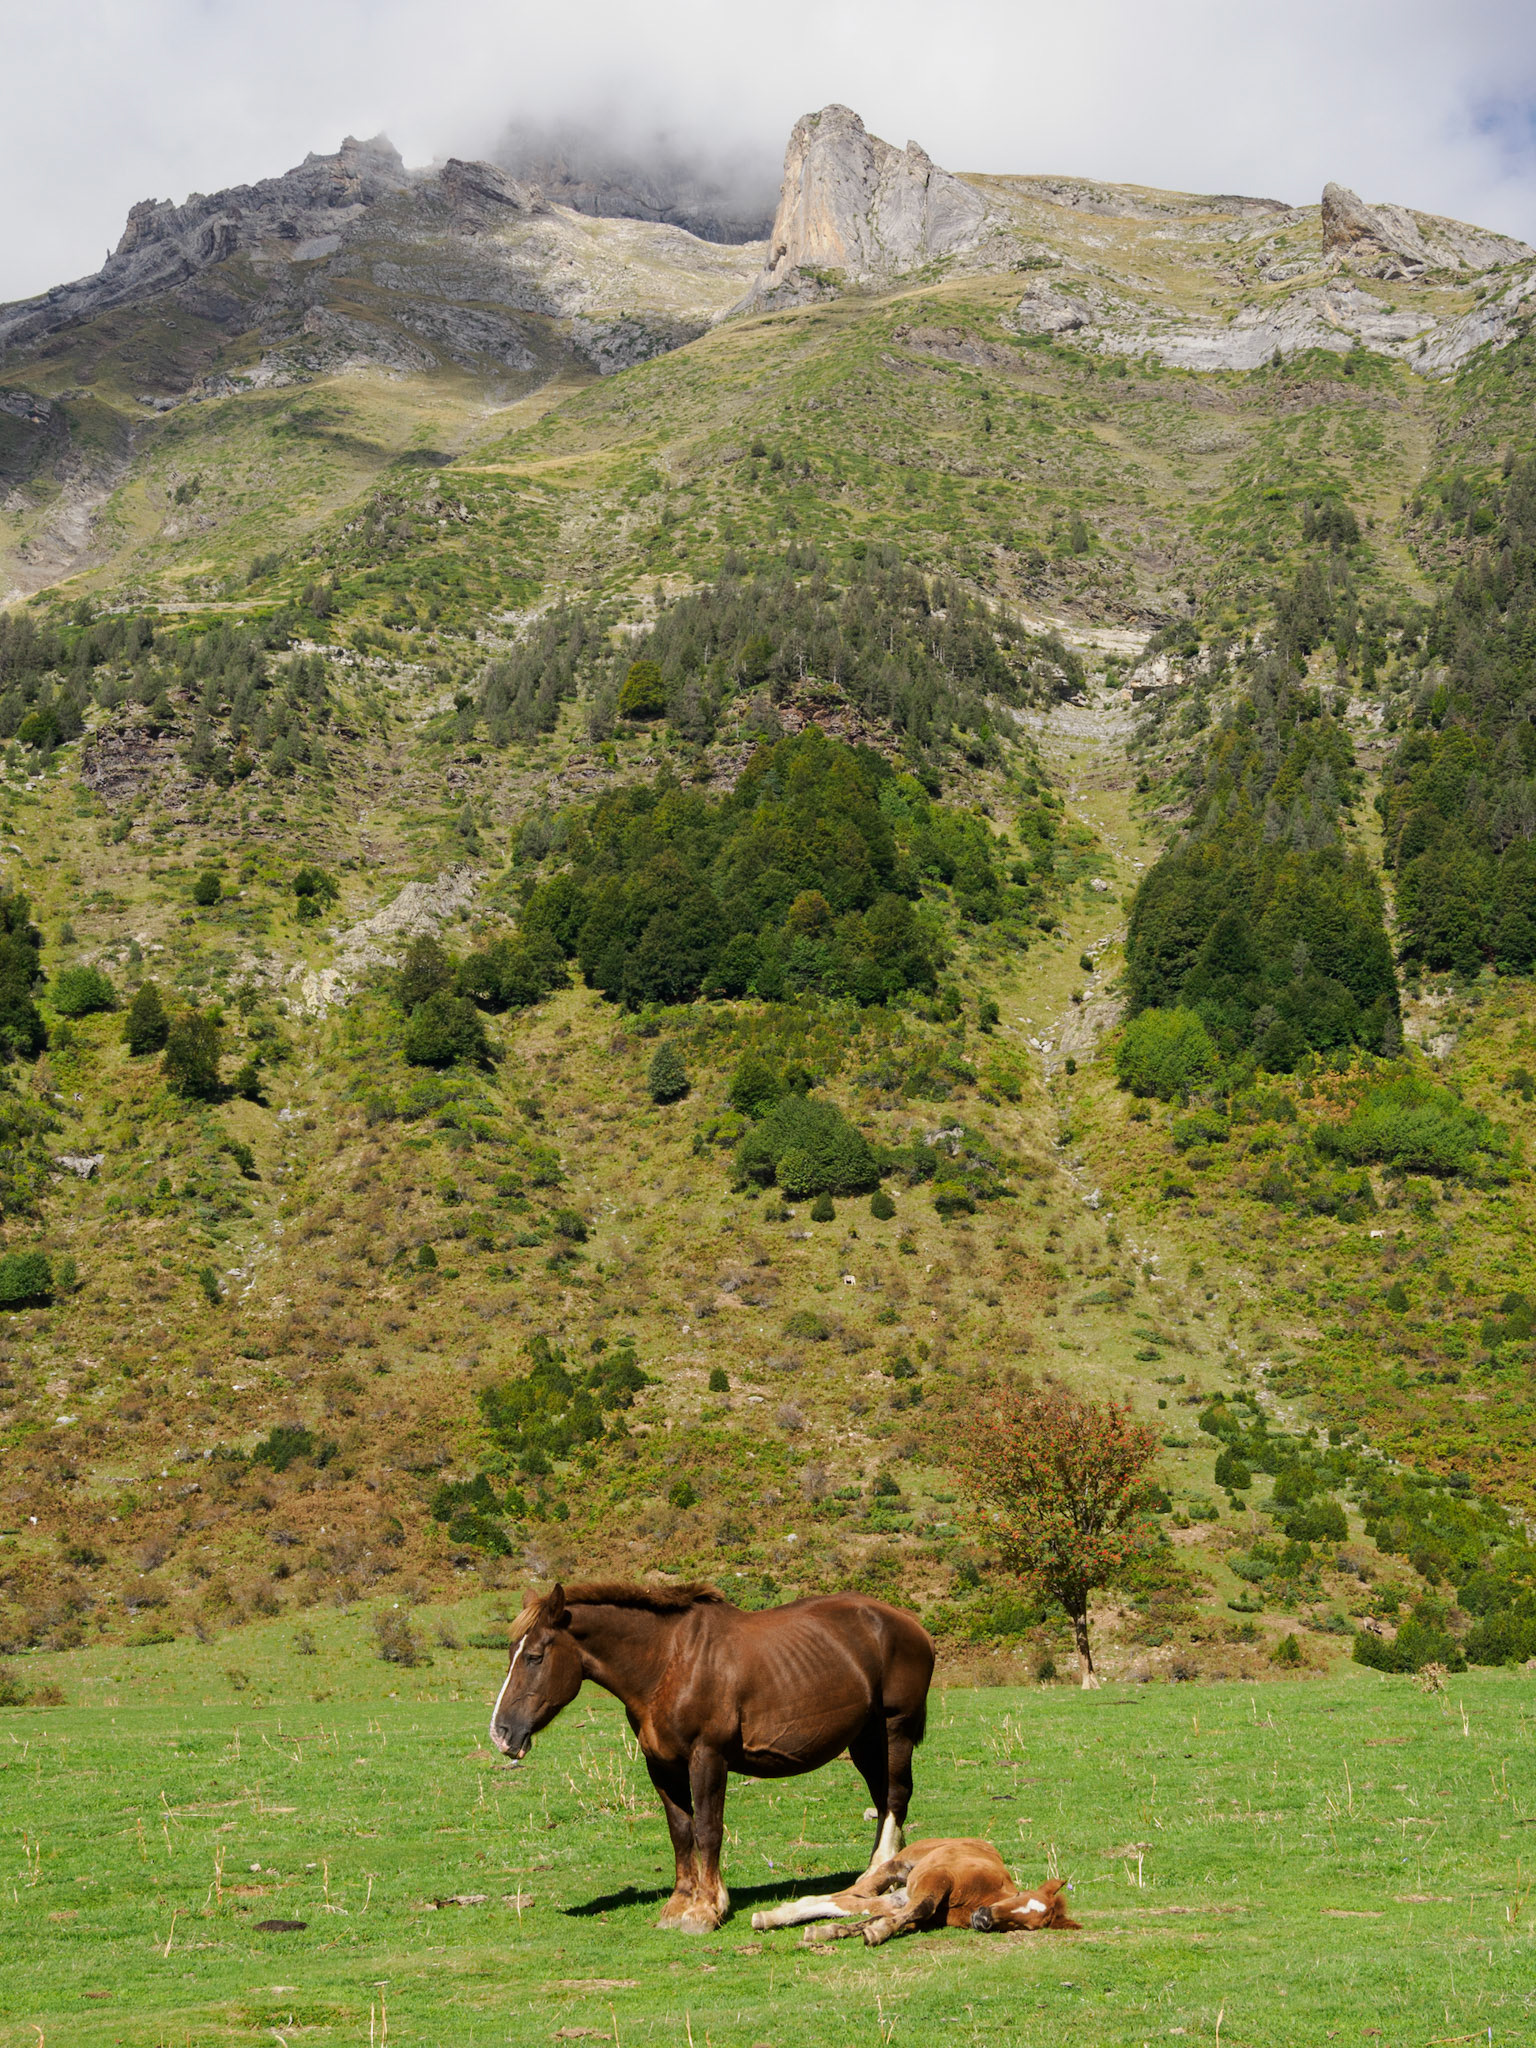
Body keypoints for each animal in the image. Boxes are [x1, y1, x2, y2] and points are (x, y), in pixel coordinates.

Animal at [488, 1580, 935, 1932]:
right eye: (510, 1653)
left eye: (535, 1656)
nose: (501, 1732)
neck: (668, 1663)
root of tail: (910, 1625)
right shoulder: (662, 1765)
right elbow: (681, 1831)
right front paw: (680, 1904)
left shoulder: (707, 1758)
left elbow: (707, 1829)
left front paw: (707, 1909)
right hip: (865, 1740)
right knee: (884, 1798)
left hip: (894, 1730)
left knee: (895, 1797)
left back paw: (877, 1873)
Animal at [750, 1836, 1080, 1944]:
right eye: (1018, 1897)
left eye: (1023, 1926)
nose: (984, 1919)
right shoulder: (939, 1878)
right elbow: (922, 1907)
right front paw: (876, 1935)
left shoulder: (916, 1910)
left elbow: (878, 1920)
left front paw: (832, 1933)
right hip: (895, 1868)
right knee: (850, 1893)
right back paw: (771, 1917)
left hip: (897, 1895)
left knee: (843, 1901)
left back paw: (777, 1918)